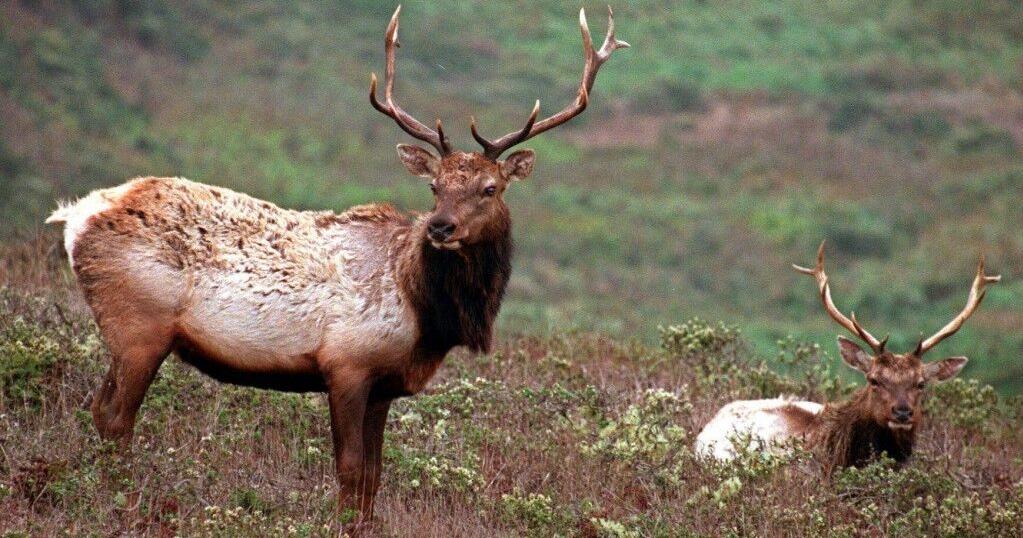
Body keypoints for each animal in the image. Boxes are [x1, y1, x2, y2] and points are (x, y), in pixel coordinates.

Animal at [44, 5, 627, 527]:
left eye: (489, 188)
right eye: (434, 187)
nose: (440, 228)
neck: (423, 312)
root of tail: (76, 215)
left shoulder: (385, 384)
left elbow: (373, 477)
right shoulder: (346, 363)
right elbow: (348, 470)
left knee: (102, 411)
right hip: (138, 325)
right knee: (114, 417)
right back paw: (117, 506)